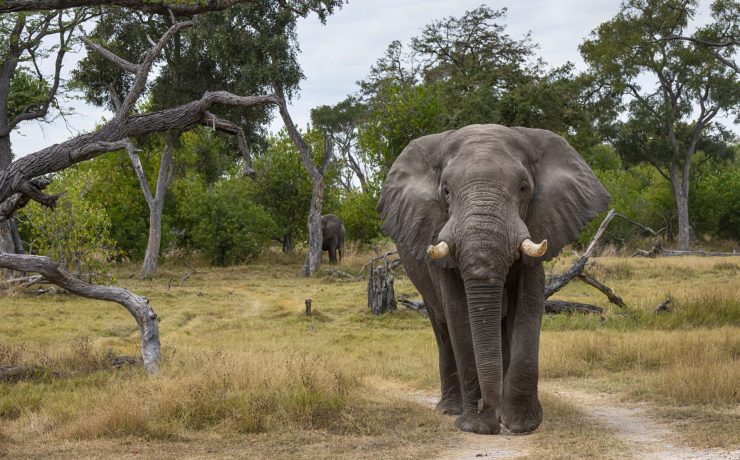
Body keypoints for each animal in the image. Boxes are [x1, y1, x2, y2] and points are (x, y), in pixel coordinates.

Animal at [377, 124, 609, 435]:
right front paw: (476, 426)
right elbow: (459, 315)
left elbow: (527, 307)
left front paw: (522, 425)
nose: (484, 406)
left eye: (524, 188)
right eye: (446, 191)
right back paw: (450, 410)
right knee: (442, 329)